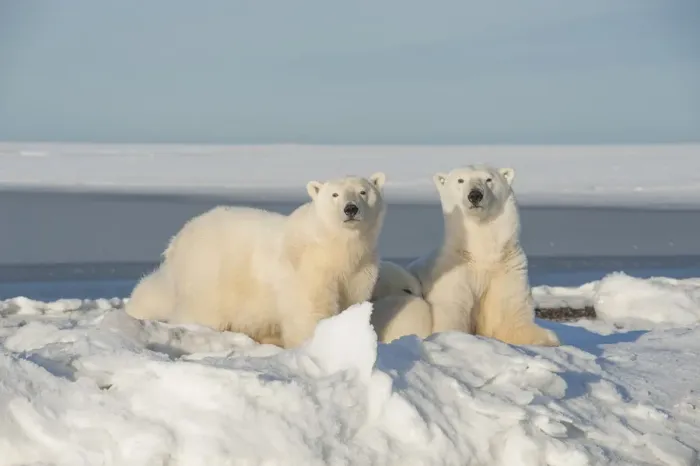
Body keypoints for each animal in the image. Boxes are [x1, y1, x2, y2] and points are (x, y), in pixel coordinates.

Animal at [125, 173, 388, 349]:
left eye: (363, 191)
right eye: (334, 195)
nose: (350, 209)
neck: (335, 248)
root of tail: (178, 239)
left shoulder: (360, 271)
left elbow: (352, 302)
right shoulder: (308, 270)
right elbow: (311, 311)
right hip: (210, 278)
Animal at [407, 164, 560, 347]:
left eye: (489, 179)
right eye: (460, 180)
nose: (475, 195)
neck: (481, 253)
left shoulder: (507, 267)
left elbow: (511, 319)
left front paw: (547, 338)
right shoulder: (455, 270)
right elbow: (452, 313)